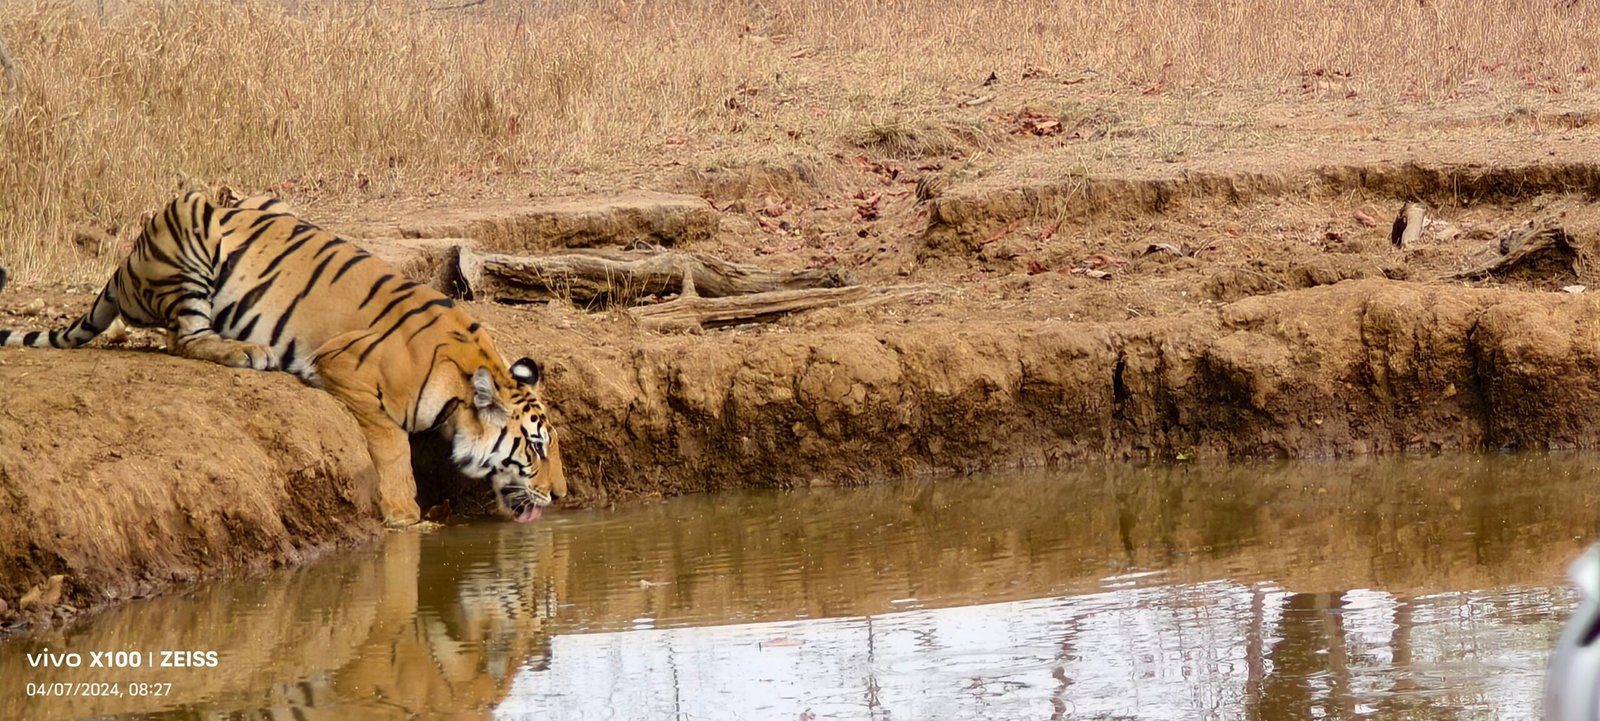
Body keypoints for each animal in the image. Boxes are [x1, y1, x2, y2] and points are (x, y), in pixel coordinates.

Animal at [0, 191, 566, 526]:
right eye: (536, 448)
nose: (561, 496)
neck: (462, 387)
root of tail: (124, 267)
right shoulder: (346, 367)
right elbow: (391, 446)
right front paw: (405, 513)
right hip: (190, 221)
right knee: (183, 337)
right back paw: (250, 351)